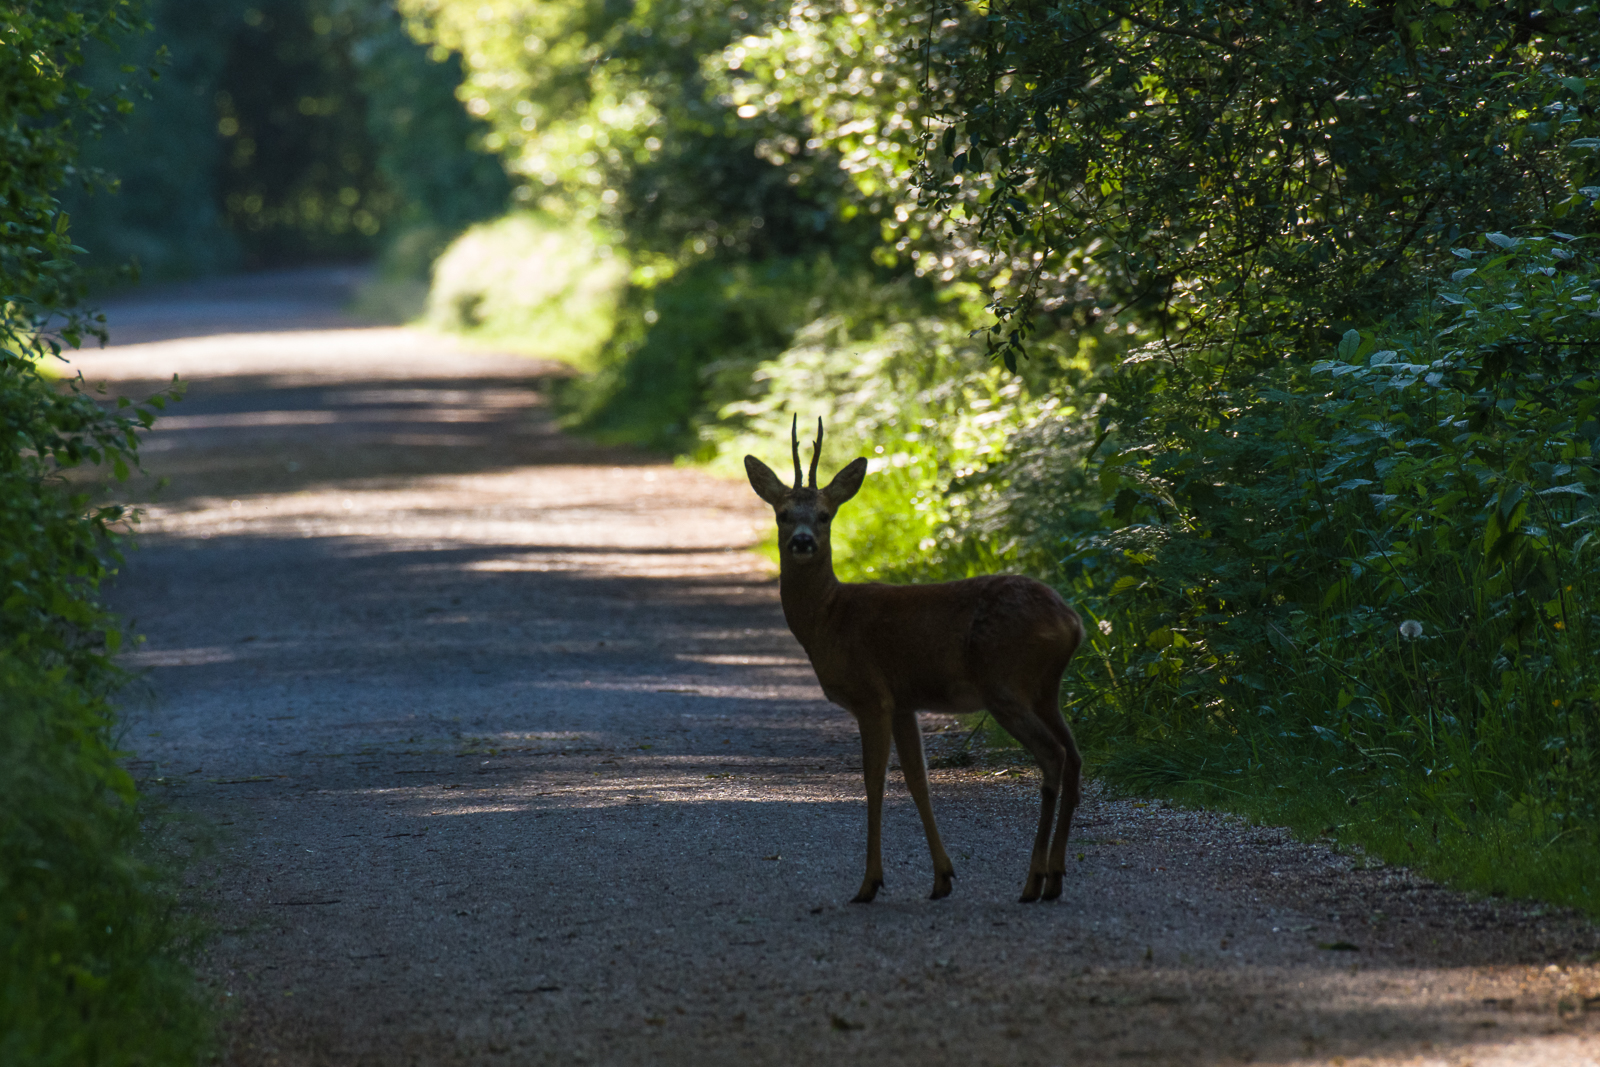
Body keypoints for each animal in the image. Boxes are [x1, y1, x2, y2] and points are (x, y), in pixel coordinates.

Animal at [742, 415, 1081, 902]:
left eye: (826, 515)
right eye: (783, 514)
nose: (803, 542)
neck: (829, 617)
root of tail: (1071, 621)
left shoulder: (872, 695)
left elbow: (875, 782)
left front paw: (869, 883)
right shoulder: (904, 702)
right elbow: (918, 782)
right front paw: (942, 877)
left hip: (1005, 684)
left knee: (1053, 755)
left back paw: (1033, 880)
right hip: (1045, 690)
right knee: (1074, 756)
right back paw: (1054, 878)